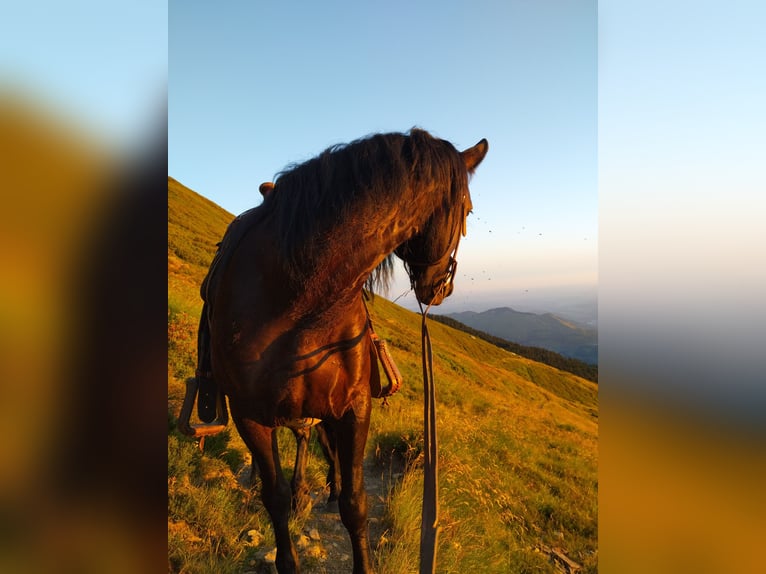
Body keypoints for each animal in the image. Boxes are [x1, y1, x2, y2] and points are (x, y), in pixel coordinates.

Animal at [205, 129, 487, 573]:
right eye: (469, 211)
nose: (443, 288)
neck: (301, 299)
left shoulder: (353, 407)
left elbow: (356, 504)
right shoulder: (248, 414)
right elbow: (275, 497)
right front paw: (288, 552)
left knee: (313, 440)